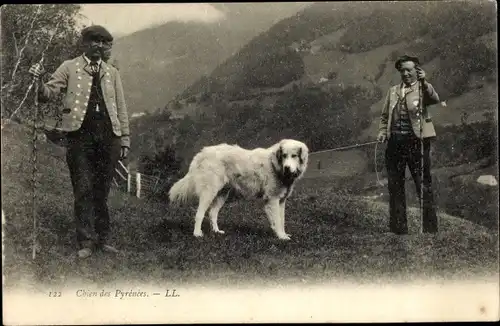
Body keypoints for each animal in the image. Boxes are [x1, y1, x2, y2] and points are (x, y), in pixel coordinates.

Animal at [169, 139, 308, 241]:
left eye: (294, 156)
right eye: (284, 156)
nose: (287, 168)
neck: (275, 165)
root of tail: (203, 152)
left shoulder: (281, 201)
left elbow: (282, 220)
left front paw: (282, 234)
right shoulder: (272, 199)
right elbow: (278, 220)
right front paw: (281, 236)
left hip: (222, 194)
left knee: (212, 213)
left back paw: (217, 231)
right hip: (208, 192)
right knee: (199, 214)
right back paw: (197, 234)